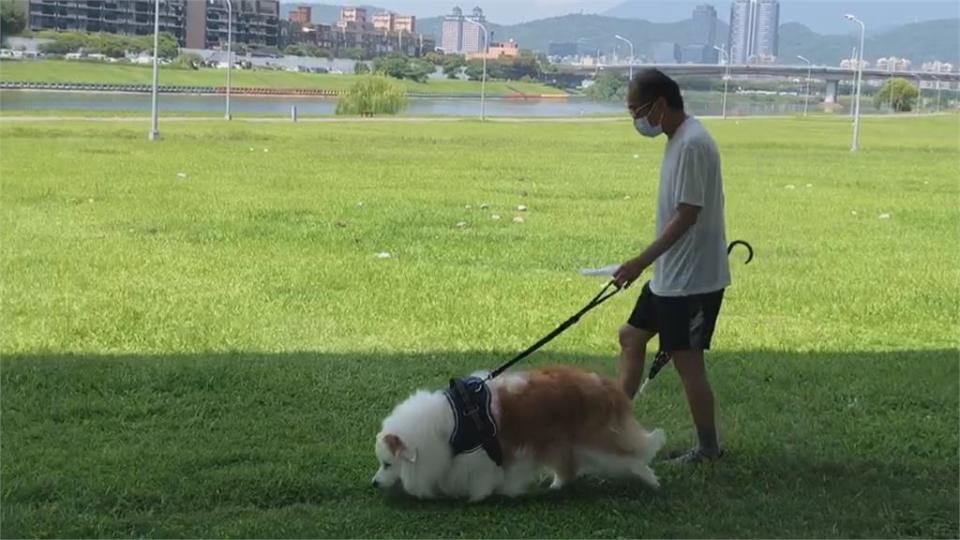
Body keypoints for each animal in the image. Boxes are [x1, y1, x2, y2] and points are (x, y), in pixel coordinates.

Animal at [372, 364, 664, 500]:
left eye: (387, 464)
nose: (373, 483)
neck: (450, 424)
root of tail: (605, 384)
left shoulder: (478, 458)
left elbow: (480, 479)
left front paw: (477, 496)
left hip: (596, 443)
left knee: (631, 458)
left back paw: (652, 482)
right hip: (561, 444)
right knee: (567, 469)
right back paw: (556, 486)